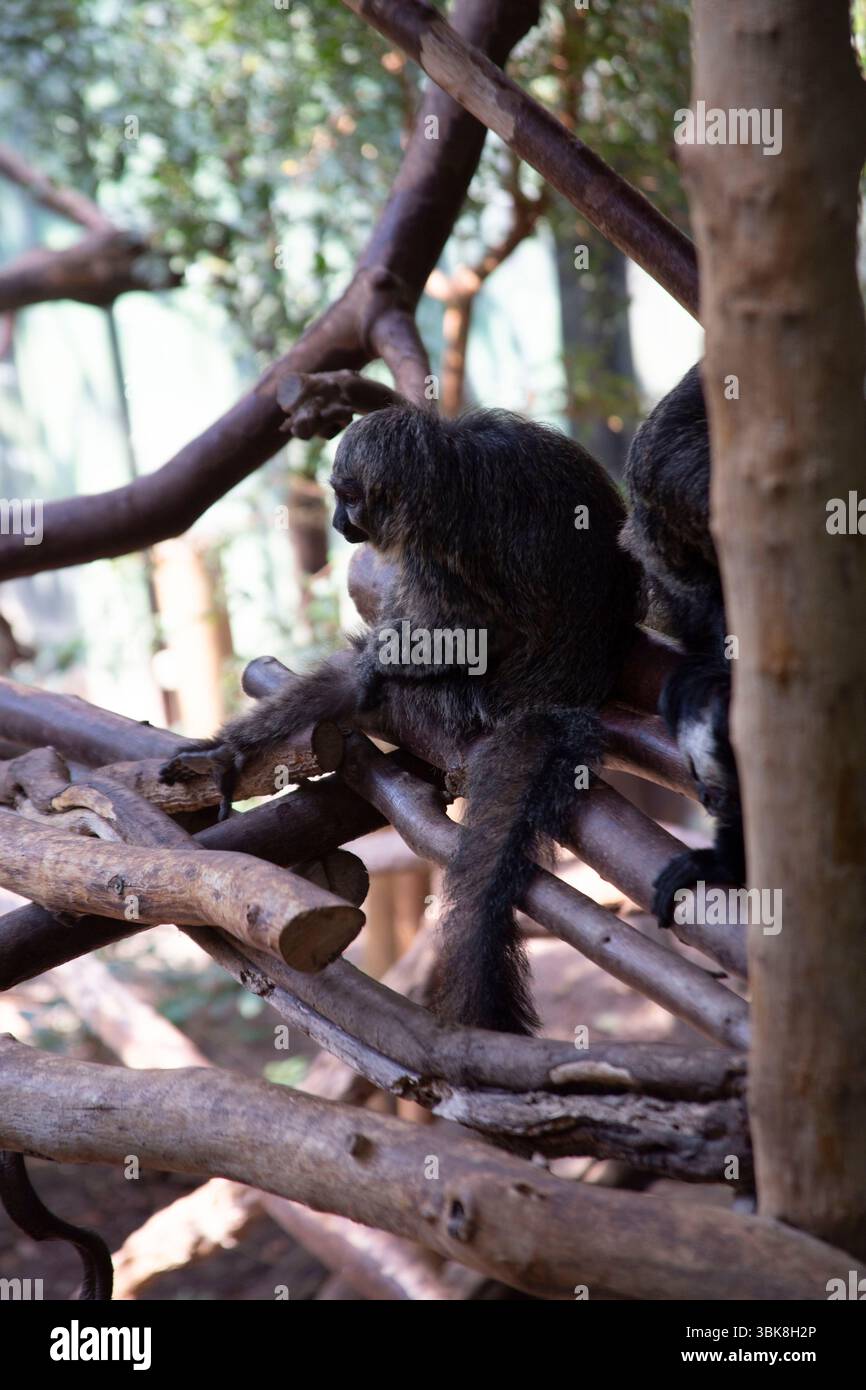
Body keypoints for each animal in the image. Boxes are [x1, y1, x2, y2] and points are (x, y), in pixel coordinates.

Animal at [161, 405, 644, 1035]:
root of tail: (553, 698)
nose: (338, 521)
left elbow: (458, 633)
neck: (456, 465)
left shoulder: (437, 546)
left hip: (470, 700)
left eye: (348, 498)